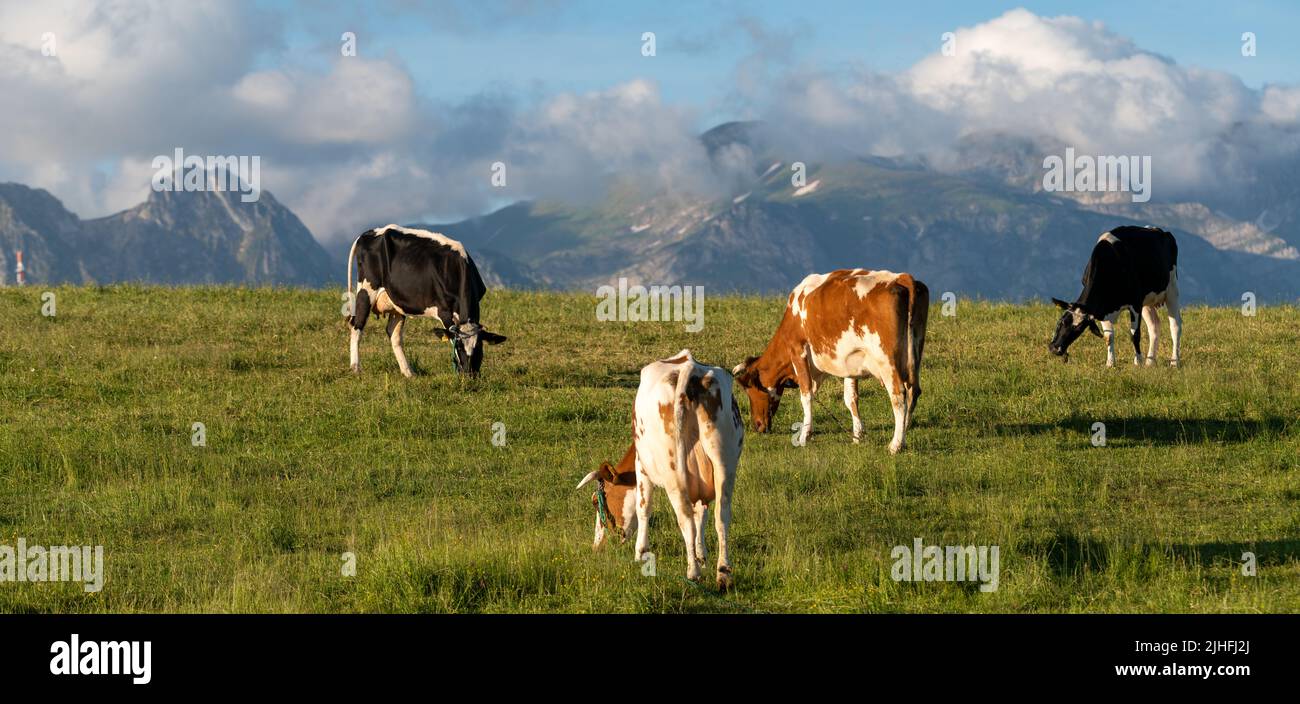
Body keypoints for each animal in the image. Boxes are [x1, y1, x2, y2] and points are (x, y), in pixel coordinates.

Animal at [346, 224, 506, 377]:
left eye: (479, 347)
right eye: (459, 346)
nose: (469, 375)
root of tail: (369, 233)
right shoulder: (444, 311)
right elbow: (450, 336)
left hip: (397, 302)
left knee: (393, 334)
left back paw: (408, 373)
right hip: (366, 290)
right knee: (356, 325)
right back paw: (355, 368)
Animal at [577, 350, 744, 589]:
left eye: (596, 501)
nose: (597, 547)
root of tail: (690, 369)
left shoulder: (641, 467)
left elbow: (643, 508)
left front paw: (640, 553)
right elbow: (701, 513)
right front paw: (701, 555)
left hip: (674, 472)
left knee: (685, 518)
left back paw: (693, 573)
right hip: (725, 463)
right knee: (721, 516)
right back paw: (723, 573)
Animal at [732, 269, 929, 454]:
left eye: (749, 391)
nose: (757, 426)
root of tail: (901, 277)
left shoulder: (798, 351)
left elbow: (806, 395)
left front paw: (804, 436)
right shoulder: (850, 362)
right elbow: (850, 398)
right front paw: (857, 436)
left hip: (886, 361)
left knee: (898, 395)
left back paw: (895, 445)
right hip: (915, 352)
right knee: (913, 392)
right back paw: (904, 434)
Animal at [1049, 226, 1181, 367]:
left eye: (1078, 329)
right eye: (1061, 321)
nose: (1055, 348)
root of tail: (1160, 231)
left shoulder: (1135, 303)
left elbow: (1135, 335)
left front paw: (1138, 362)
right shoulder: (1101, 308)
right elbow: (1108, 336)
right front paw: (1110, 363)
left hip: (1172, 290)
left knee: (1175, 326)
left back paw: (1174, 362)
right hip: (1147, 302)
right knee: (1154, 326)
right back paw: (1150, 362)